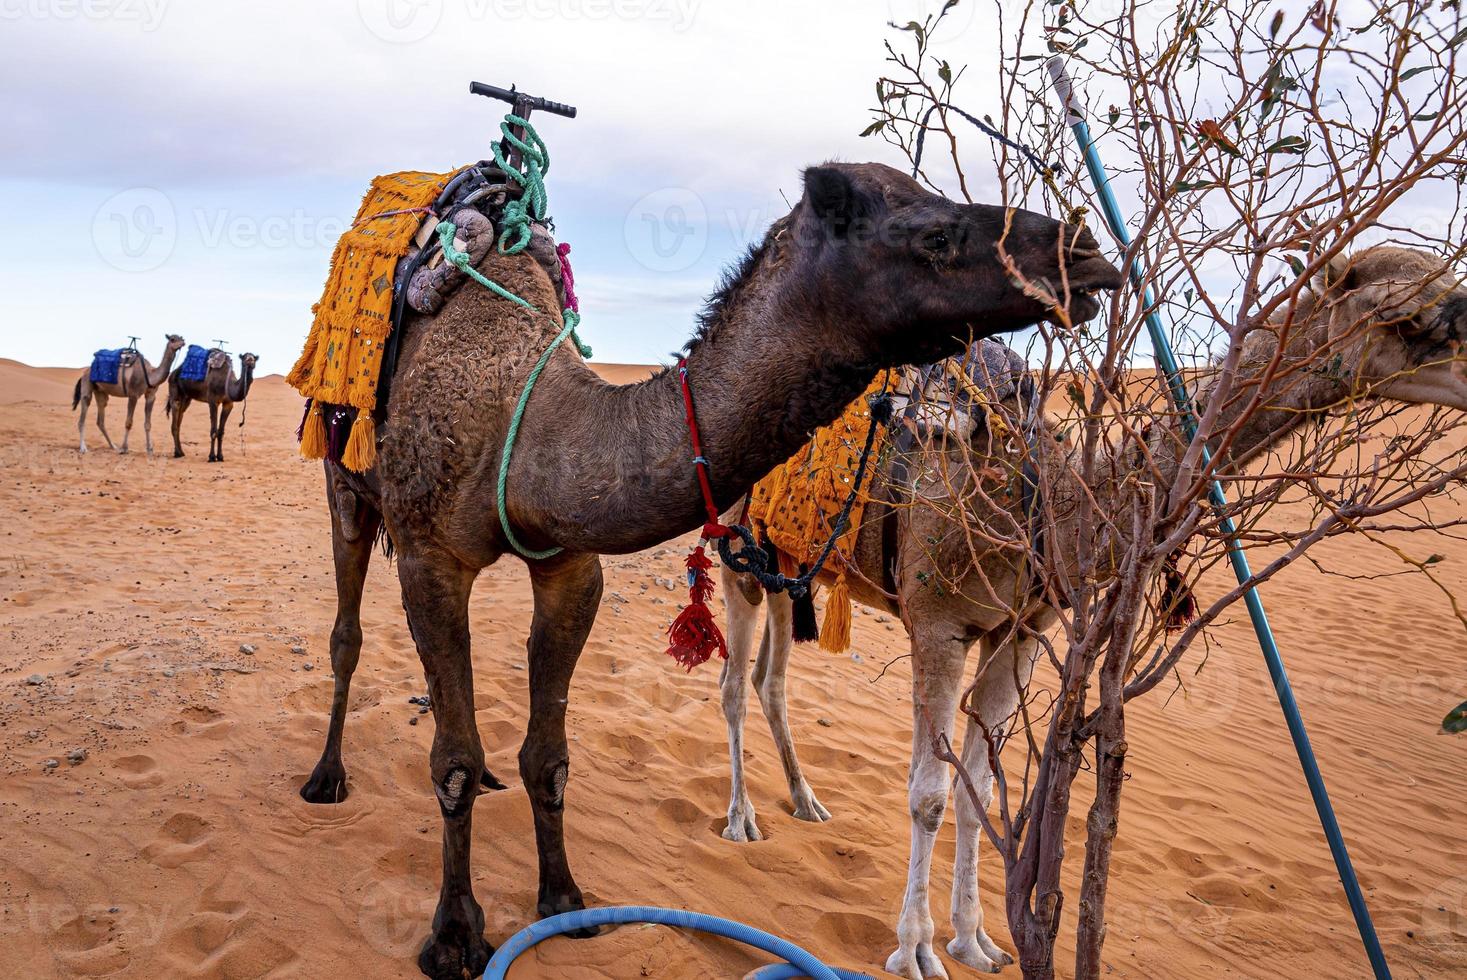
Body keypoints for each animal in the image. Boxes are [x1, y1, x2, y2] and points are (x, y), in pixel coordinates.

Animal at [294, 164, 1120, 974]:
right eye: (934, 234)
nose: (1085, 252)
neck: (522, 417)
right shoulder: (430, 557)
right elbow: (453, 762)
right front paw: (455, 935)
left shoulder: (572, 564)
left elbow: (549, 756)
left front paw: (565, 903)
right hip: (346, 484)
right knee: (347, 633)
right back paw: (326, 777)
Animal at [715, 244, 1467, 979]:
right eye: (1405, 315)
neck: (1046, 500)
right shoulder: (937, 625)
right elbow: (928, 794)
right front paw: (917, 950)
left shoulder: (1018, 632)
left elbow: (978, 791)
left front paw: (976, 942)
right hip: (737, 554)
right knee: (732, 687)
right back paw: (742, 821)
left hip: (789, 564)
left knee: (769, 679)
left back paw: (807, 801)